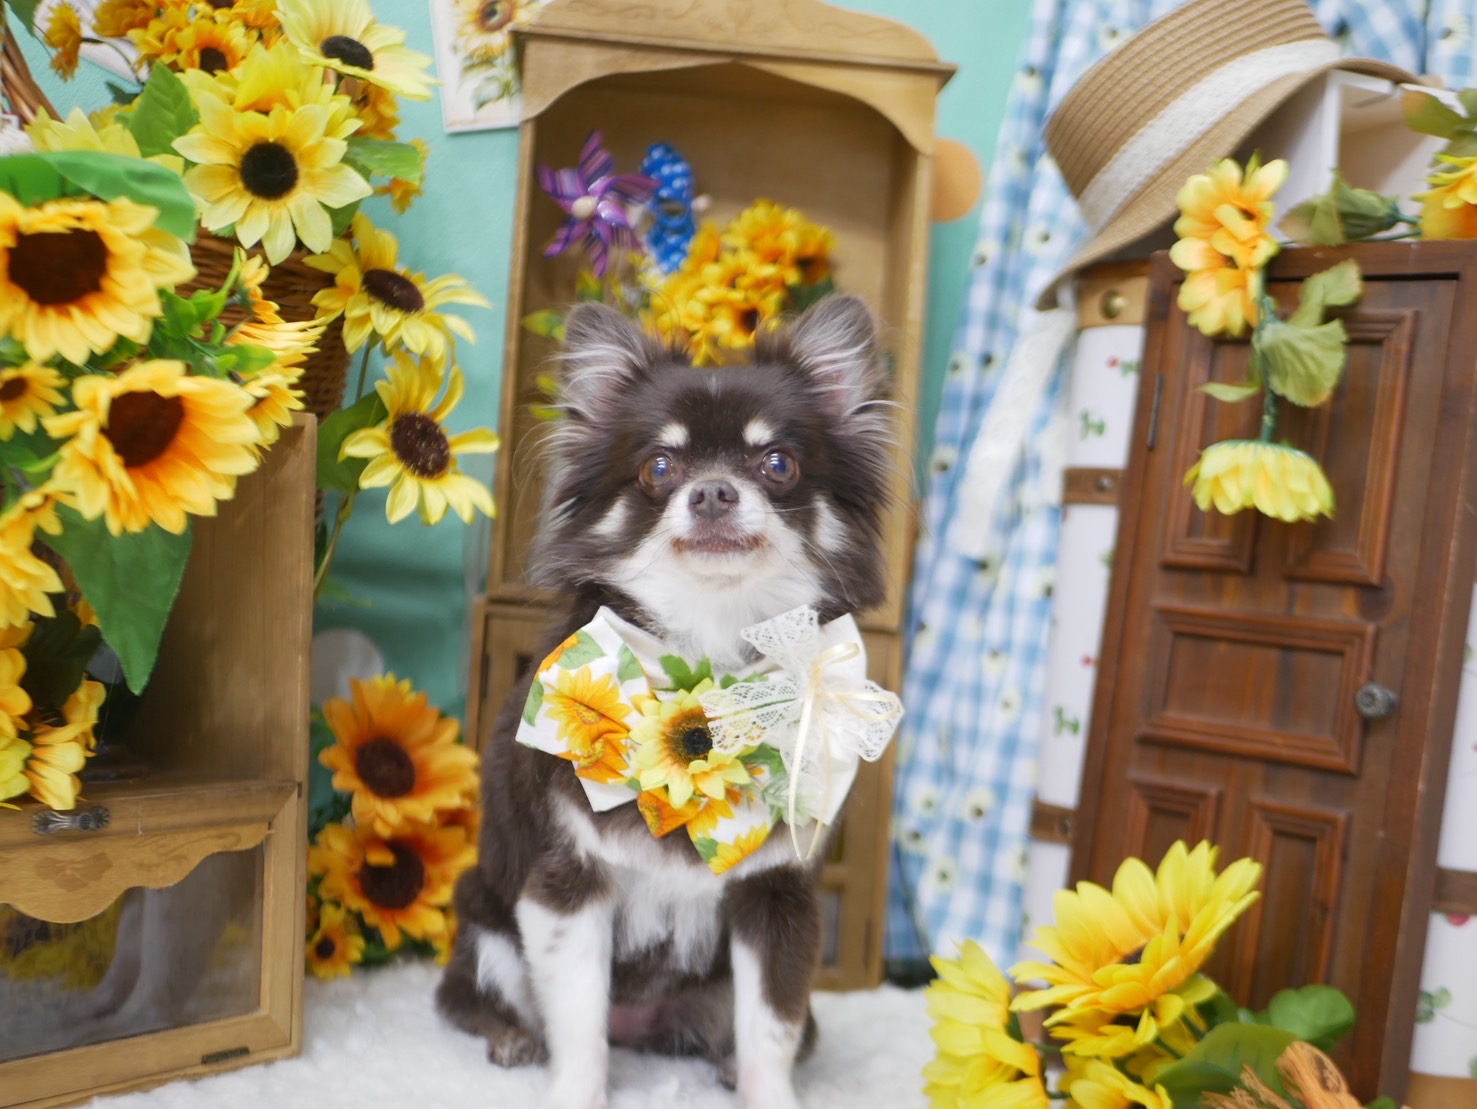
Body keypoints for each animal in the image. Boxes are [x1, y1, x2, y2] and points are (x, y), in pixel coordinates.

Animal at [436, 293, 895, 1109]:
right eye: (658, 466)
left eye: (778, 464)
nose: (711, 490)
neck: (706, 661)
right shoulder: (565, 889)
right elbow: (579, 1022)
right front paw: (577, 1093)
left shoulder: (780, 901)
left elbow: (772, 1027)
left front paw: (767, 1094)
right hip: (486, 919)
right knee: (467, 996)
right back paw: (512, 1038)